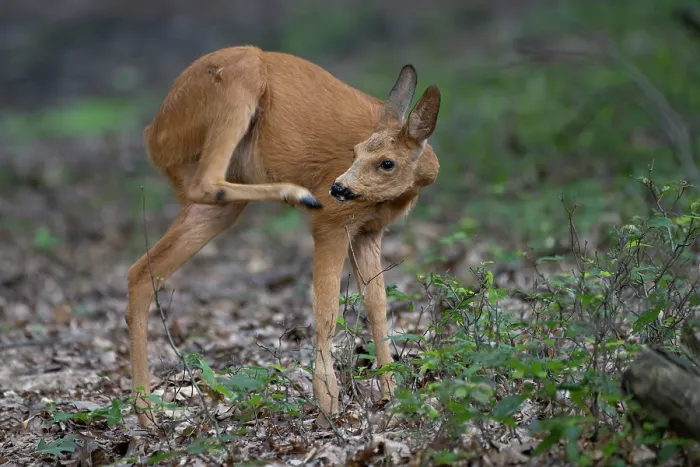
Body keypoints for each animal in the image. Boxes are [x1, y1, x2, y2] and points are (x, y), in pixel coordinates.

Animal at [125, 45, 441, 428]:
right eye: (353, 152)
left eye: (387, 162)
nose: (338, 188)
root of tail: (152, 134)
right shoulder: (332, 223)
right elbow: (327, 310)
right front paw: (328, 401)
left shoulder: (369, 231)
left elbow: (378, 306)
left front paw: (392, 393)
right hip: (239, 80)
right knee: (206, 182)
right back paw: (297, 193)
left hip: (220, 204)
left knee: (141, 273)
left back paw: (146, 413)